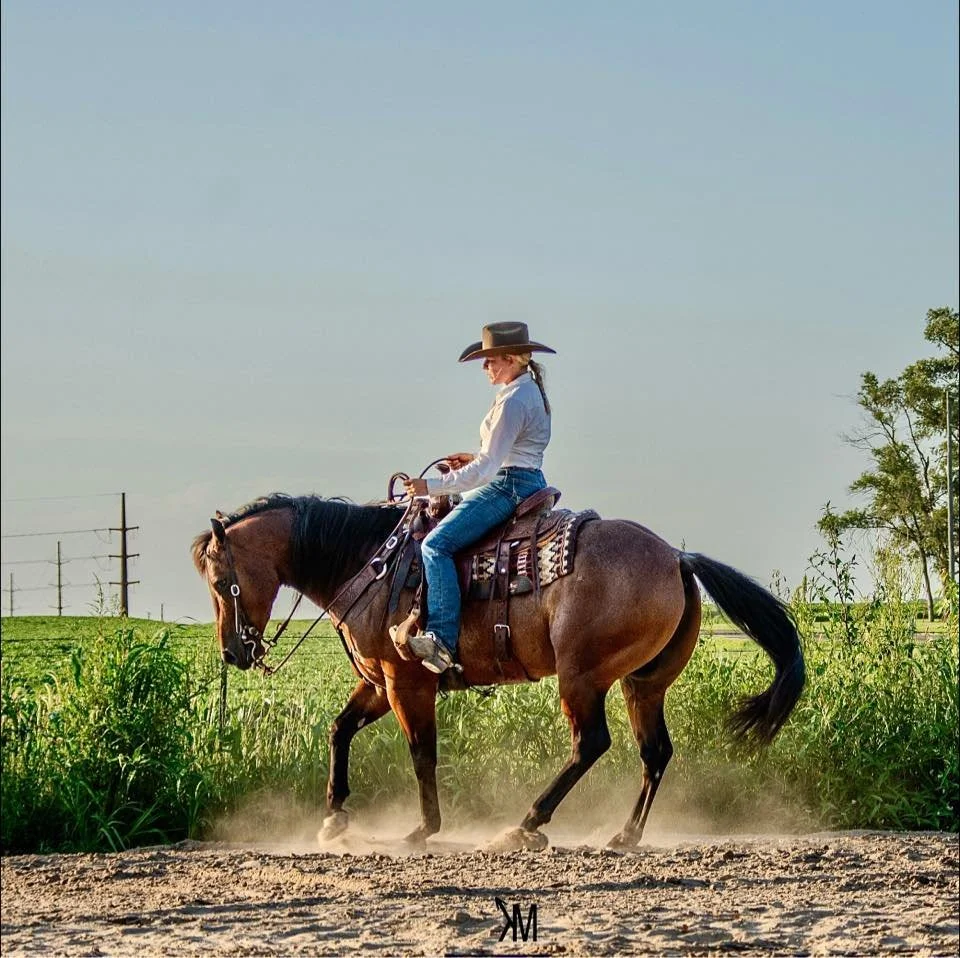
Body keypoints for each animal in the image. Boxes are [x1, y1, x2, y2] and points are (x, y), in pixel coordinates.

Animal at [191, 492, 805, 851]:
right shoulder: (378, 681)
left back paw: (527, 824)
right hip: (643, 683)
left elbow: (422, 752)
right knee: (654, 753)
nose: (233, 653)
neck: (369, 561)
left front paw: (422, 829)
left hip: (582, 677)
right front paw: (334, 816)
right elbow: (338, 730)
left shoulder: (407, 681)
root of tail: (678, 558)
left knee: (591, 744)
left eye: (223, 583)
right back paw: (624, 835)